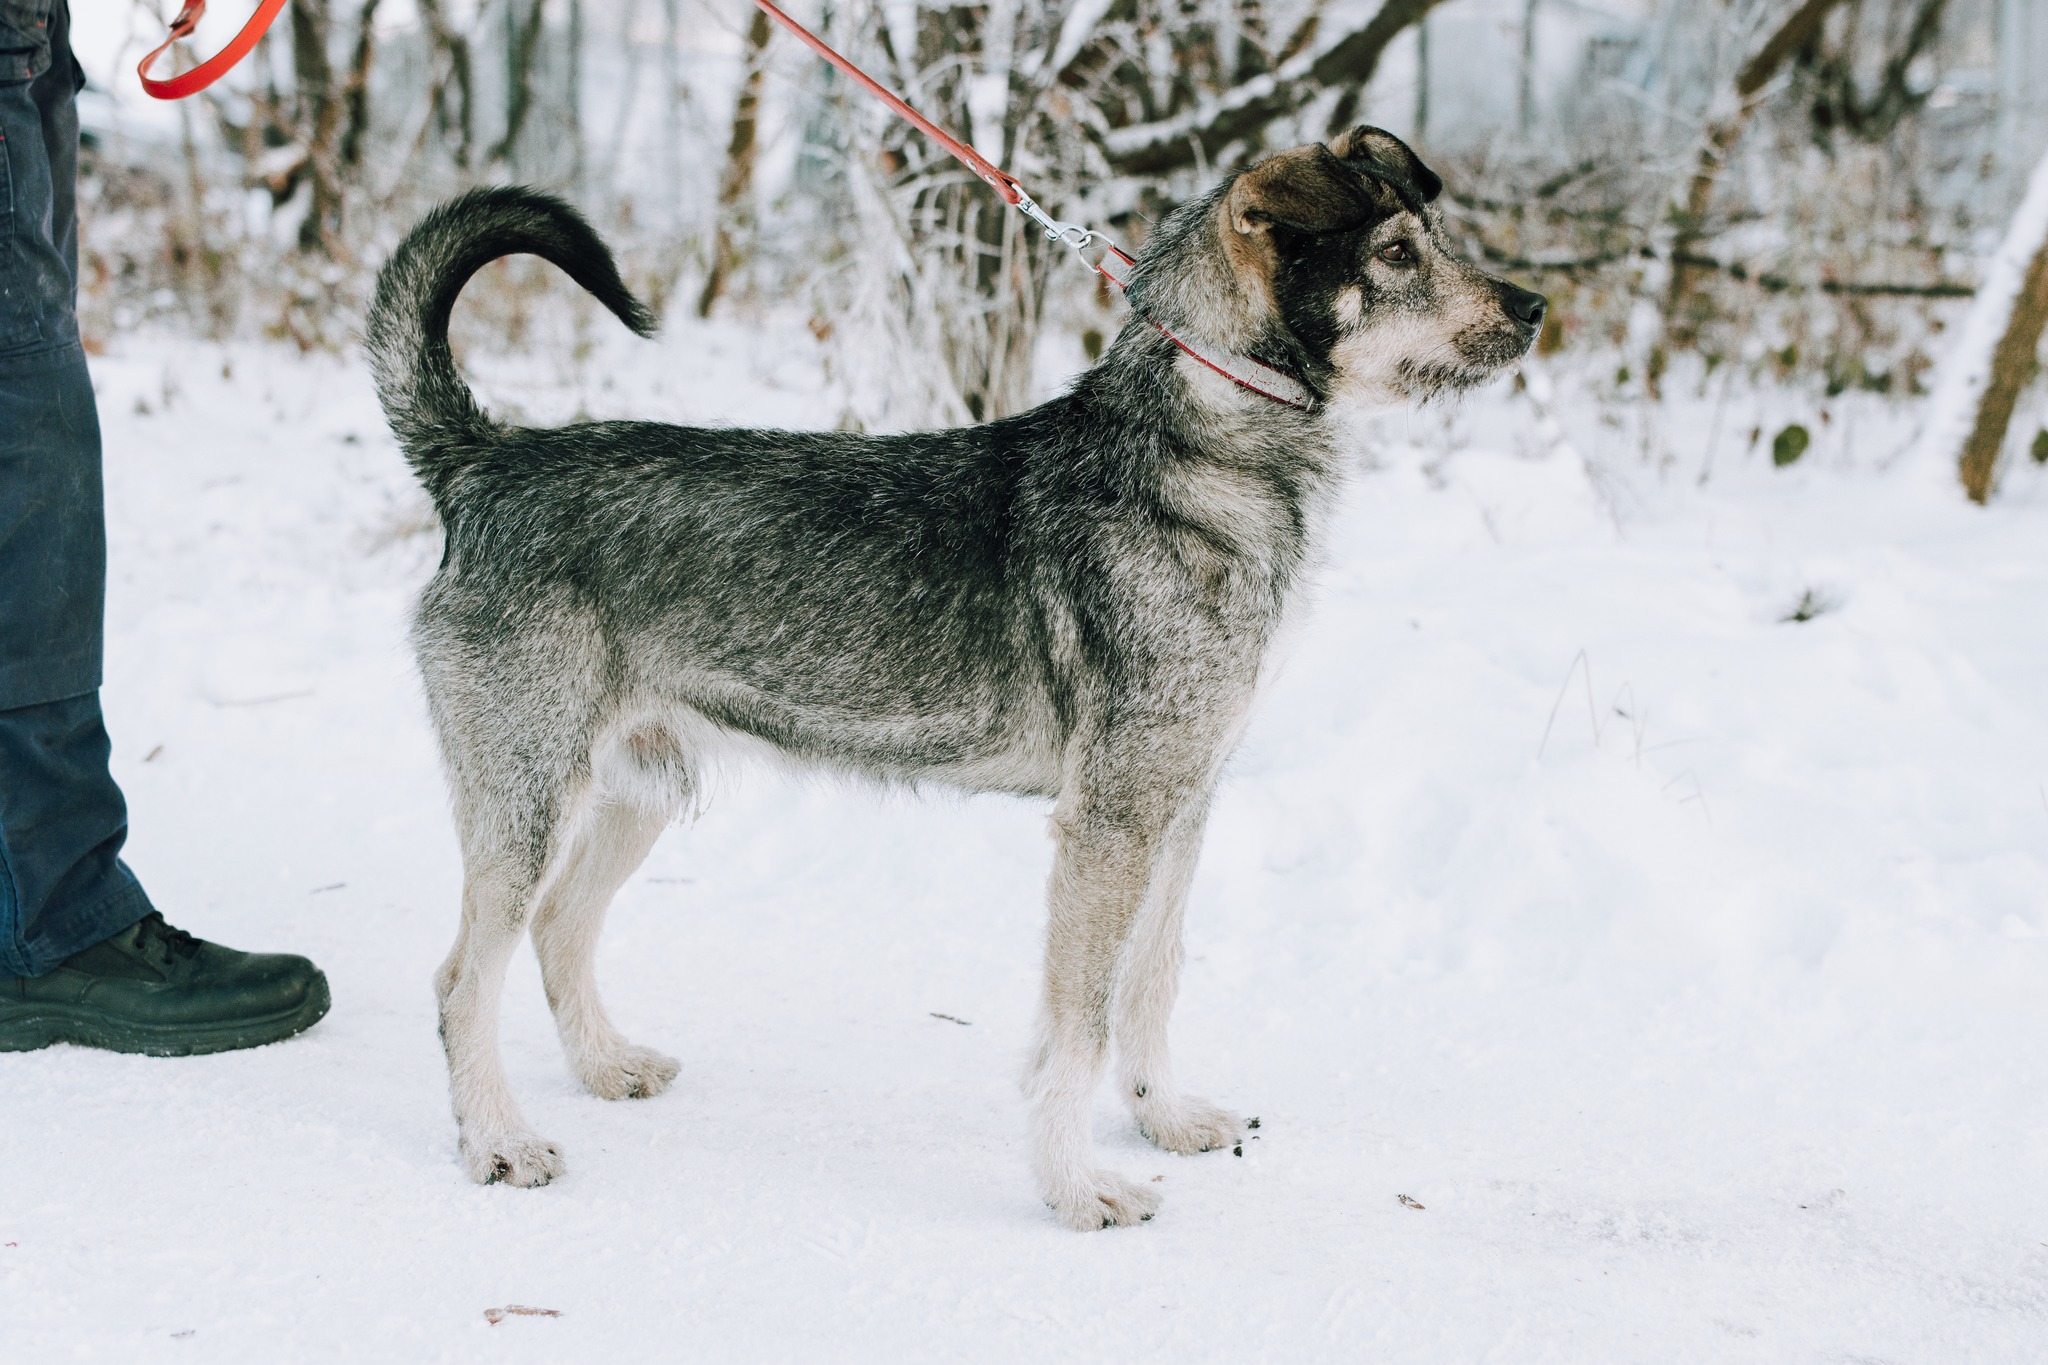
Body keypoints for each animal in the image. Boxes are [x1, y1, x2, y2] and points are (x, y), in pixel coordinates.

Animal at [365, 125, 1544, 1230]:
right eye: (1396, 253)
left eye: (1432, 238)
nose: (1535, 307)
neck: (1200, 451)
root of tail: (485, 463)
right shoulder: (1111, 823)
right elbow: (1078, 1027)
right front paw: (1076, 1186)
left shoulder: (1180, 806)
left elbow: (1151, 985)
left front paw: (1164, 1119)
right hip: (529, 798)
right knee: (462, 979)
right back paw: (498, 1141)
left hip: (636, 790)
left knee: (561, 928)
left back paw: (605, 1068)